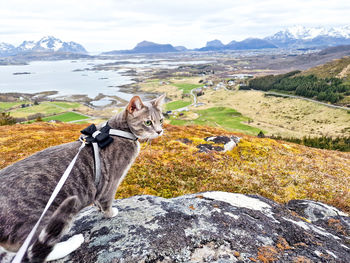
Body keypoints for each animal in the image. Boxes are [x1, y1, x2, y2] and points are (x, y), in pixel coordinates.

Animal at [0, 94, 165, 262]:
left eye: (161, 120)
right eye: (148, 122)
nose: (160, 131)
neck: (119, 130)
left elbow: (98, 200)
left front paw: (97, 208)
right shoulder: (112, 180)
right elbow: (107, 201)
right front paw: (110, 212)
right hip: (42, 218)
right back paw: (73, 242)